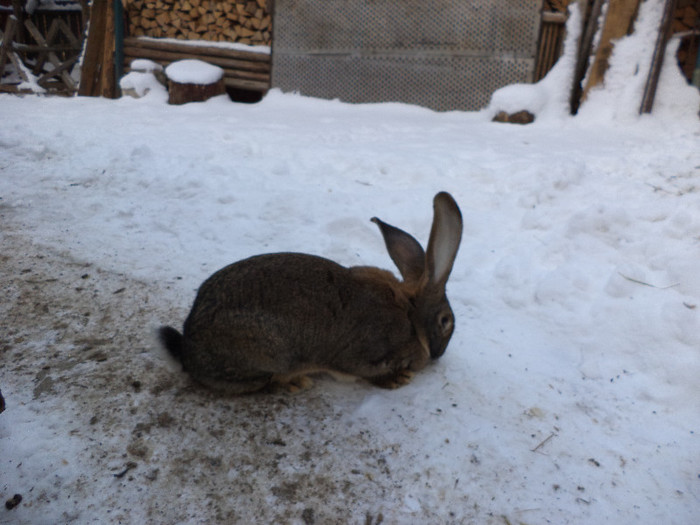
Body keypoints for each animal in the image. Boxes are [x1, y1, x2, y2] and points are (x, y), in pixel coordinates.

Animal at [161, 192, 462, 392]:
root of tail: (190, 349)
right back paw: (295, 382)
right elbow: (365, 372)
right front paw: (398, 379)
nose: (438, 355)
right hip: (270, 354)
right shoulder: (365, 356)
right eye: (445, 321)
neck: (411, 313)